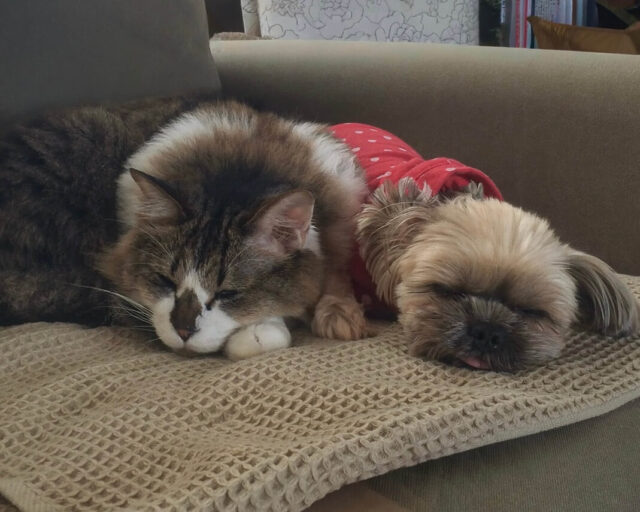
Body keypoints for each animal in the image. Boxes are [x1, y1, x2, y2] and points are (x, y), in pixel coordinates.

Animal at [0, 96, 368, 359]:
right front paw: (261, 331)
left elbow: (334, 273)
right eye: (165, 280)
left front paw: (340, 314)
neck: (241, 166)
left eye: (227, 293)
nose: (183, 331)